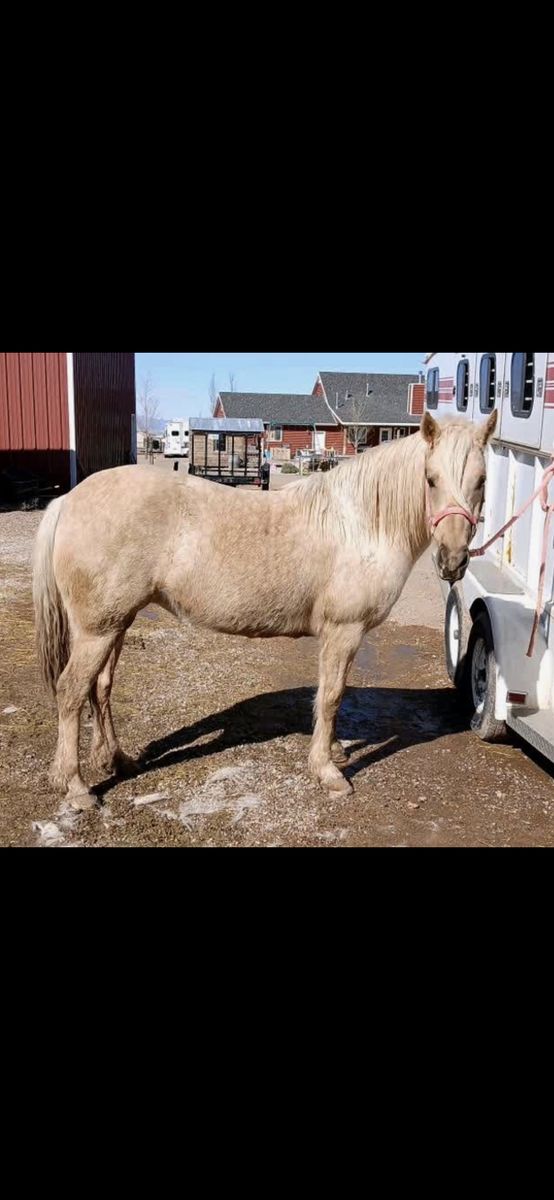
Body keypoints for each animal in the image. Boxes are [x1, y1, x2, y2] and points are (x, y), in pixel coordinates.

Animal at [33, 410, 497, 809]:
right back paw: (75, 787)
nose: (453, 561)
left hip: (115, 624)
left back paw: (116, 760)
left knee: (100, 687)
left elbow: (331, 695)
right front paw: (327, 772)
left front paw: (334, 752)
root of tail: (68, 501)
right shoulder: (343, 631)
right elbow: (331, 696)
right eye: (431, 479)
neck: (361, 524)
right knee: (72, 691)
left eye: (482, 480)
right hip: (97, 630)